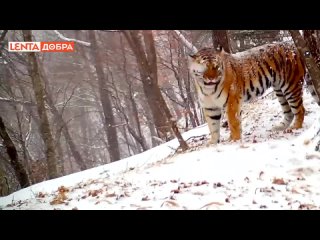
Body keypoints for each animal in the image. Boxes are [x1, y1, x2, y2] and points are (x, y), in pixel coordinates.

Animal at [189, 41, 318, 144]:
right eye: (205, 68)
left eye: (216, 67)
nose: (212, 78)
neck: (207, 88)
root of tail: (293, 45)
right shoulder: (210, 107)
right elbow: (213, 127)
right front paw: (213, 143)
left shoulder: (231, 101)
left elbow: (233, 122)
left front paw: (234, 140)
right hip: (279, 89)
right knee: (289, 112)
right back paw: (279, 127)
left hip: (291, 86)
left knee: (300, 110)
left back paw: (295, 127)